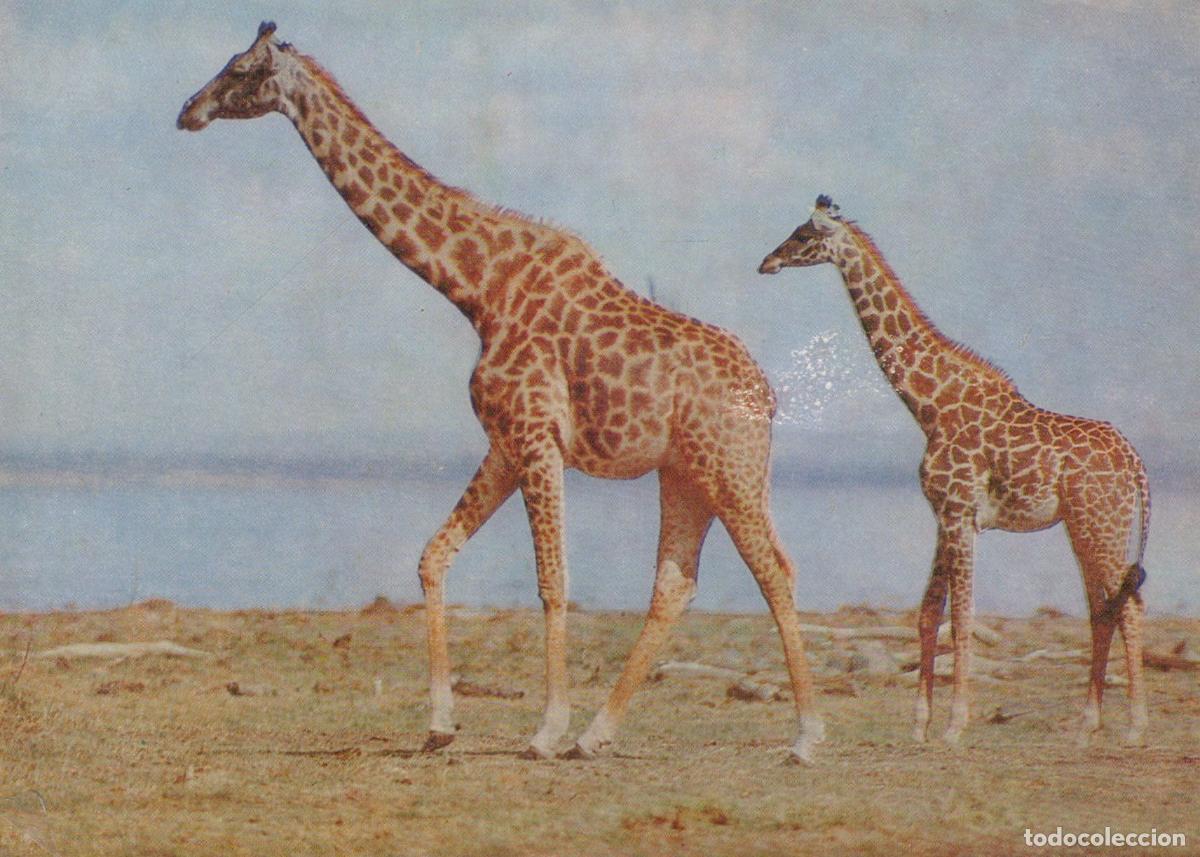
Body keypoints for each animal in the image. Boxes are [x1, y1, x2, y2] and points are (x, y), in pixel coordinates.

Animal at [177, 22, 824, 762]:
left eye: (239, 69)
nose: (188, 110)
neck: (478, 288)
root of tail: (769, 396)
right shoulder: (506, 441)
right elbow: (433, 556)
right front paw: (439, 723)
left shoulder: (536, 435)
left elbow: (552, 582)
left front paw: (544, 728)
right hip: (685, 473)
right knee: (675, 583)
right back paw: (597, 734)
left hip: (730, 469)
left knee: (774, 570)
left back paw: (805, 736)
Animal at [759, 196, 1150, 746]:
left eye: (802, 235)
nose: (766, 262)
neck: (930, 406)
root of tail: (1136, 463)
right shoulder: (945, 515)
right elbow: (928, 613)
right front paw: (920, 724)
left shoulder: (961, 513)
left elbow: (962, 617)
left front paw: (955, 724)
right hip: (1089, 524)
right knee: (1105, 606)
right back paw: (1085, 725)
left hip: (1100, 523)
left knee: (1127, 605)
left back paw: (1134, 726)